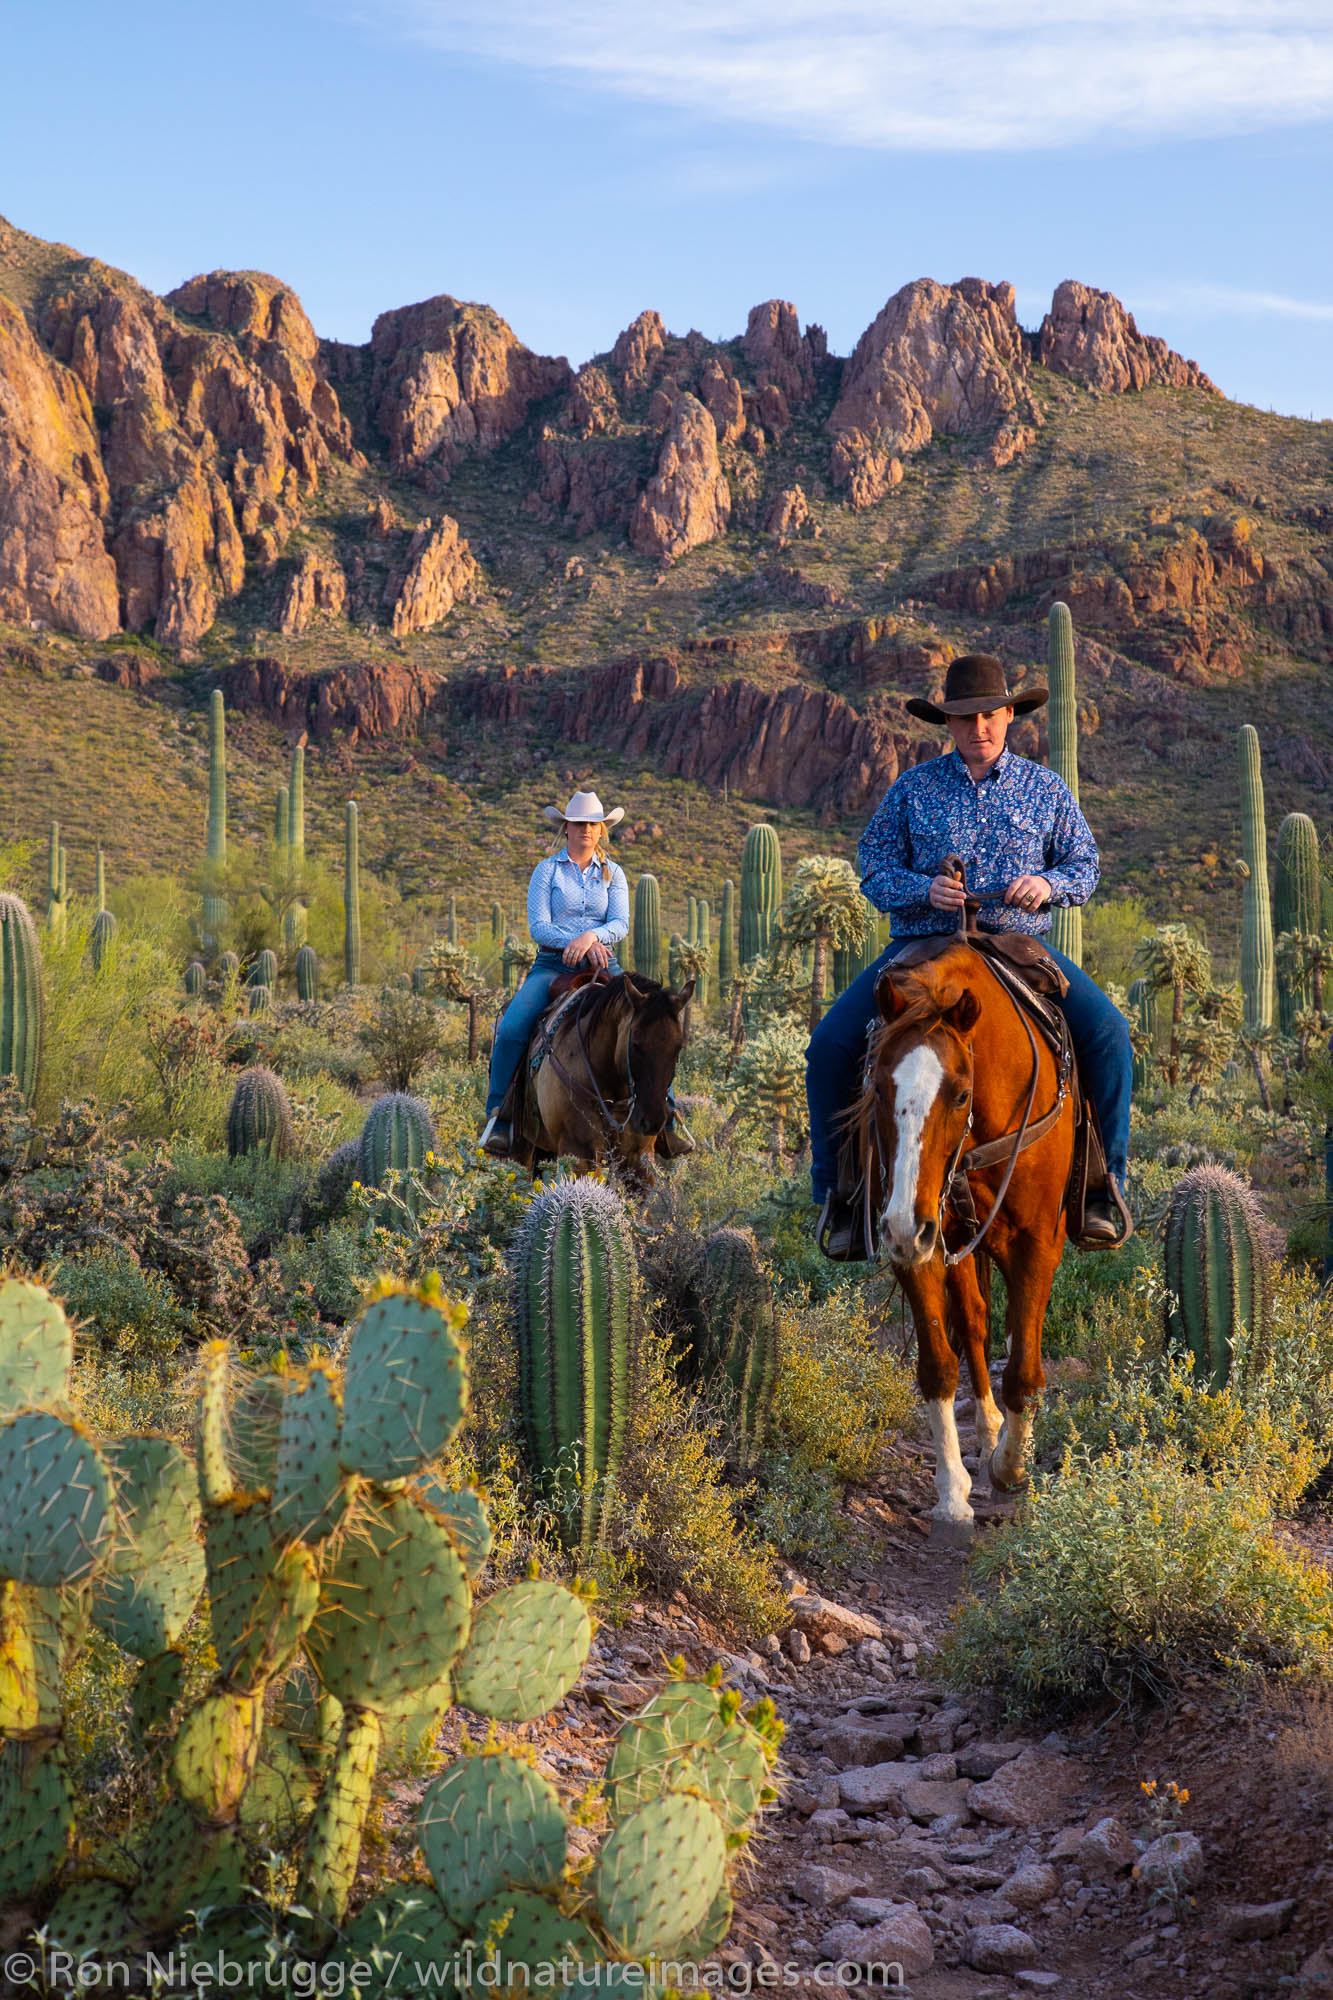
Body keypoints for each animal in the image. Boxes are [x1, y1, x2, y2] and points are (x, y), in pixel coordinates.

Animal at [844, 940, 1072, 1544]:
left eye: (961, 1093)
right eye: (878, 1087)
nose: (904, 1224)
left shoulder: (1037, 1244)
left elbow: (1025, 1371)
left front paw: (1011, 1470)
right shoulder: (918, 1245)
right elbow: (938, 1367)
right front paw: (953, 1495)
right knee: (972, 1319)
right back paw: (987, 1427)